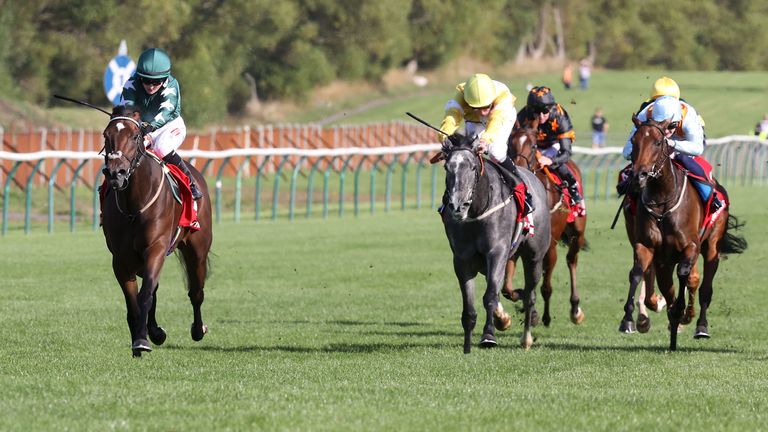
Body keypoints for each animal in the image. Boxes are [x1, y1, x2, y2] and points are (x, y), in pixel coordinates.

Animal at [100, 106, 213, 356]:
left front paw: (143, 339)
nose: (116, 173)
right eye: (106, 135)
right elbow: (135, 301)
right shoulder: (121, 259)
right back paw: (155, 331)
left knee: (196, 292)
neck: (134, 204)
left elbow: (144, 296)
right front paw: (142, 339)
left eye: (135, 136)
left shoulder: (156, 248)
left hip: (197, 250)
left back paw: (198, 329)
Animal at [438, 132, 552, 352]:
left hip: (534, 256)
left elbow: (490, 296)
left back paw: (526, 338)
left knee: (530, 295)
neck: (477, 211)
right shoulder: (462, 260)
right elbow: (469, 306)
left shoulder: (497, 252)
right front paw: (468, 344)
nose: (458, 206)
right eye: (447, 167)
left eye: (473, 167)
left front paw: (488, 335)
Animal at [504, 123, 588, 326]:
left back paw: (575, 309)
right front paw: (526, 307)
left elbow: (545, 285)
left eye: (534, 145)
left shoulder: (550, 245)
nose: (519, 169)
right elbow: (508, 288)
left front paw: (543, 315)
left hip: (577, 233)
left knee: (571, 260)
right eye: (510, 142)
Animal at [624, 115, 744, 352]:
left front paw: (681, 313)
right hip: (665, 261)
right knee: (669, 285)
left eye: (658, 143)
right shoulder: (647, 246)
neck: (662, 201)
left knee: (704, 287)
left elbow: (684, 275)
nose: (639, 176)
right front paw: (628, 320)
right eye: (634, 142)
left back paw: (700, 326)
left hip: (711, 246)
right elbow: (637, 273)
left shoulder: (690, 247)